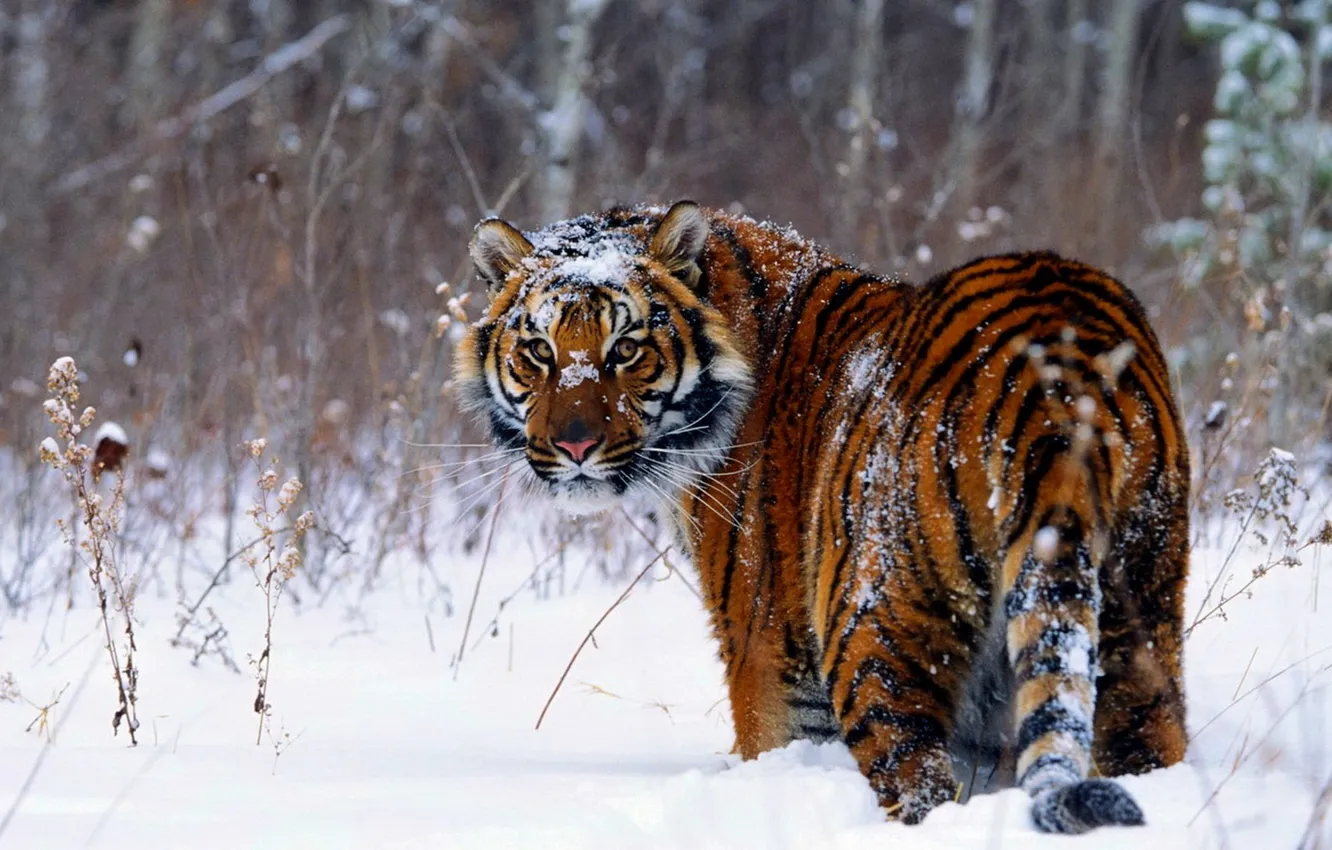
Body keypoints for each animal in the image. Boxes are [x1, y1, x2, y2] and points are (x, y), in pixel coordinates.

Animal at [455, 201, 1189, 833]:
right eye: (540, 352)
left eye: (627, 350)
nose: (575, 447)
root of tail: (1056, 374)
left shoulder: (768, 653)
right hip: (1139, 617)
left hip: (874, 633)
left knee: (918, 784)